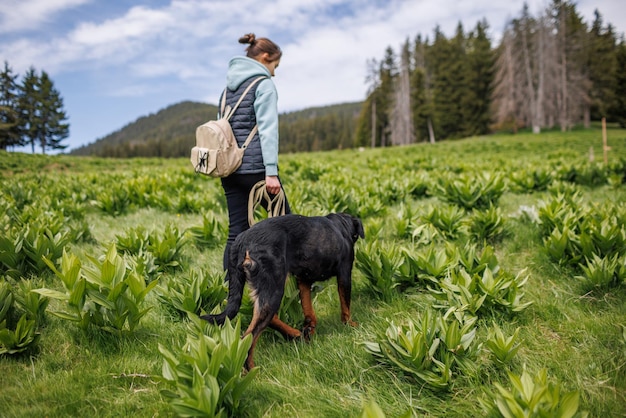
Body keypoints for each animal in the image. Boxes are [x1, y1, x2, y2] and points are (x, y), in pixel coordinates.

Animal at [202, 212, 364, 370]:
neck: (342, 224)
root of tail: (242, 240)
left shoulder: (303, 280)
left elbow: (309, 311)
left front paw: (309, 329)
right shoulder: (344, 273)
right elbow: (345, 304)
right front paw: (350, 324)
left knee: (268, 318)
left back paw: (296, 334)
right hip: (274, 286)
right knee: (249, 336)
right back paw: (251, 369)